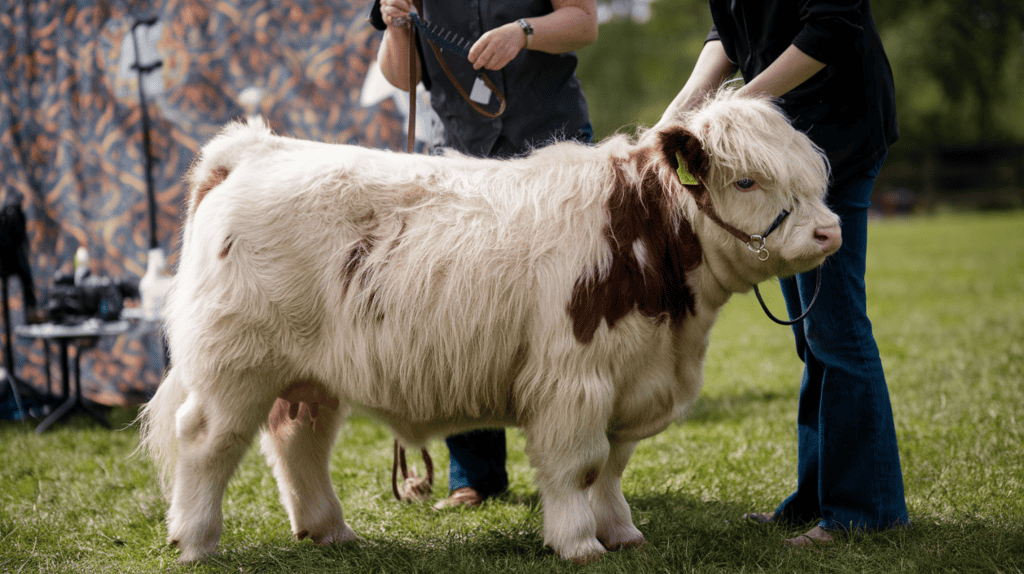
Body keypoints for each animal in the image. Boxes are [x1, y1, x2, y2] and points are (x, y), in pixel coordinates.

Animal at [139, 89, 841, 564]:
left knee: (297, 439)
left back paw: (329, 530)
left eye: (812, 180)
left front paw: (622, 533)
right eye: (745, 181)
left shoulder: (629, 376)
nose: (830, 231)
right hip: (234, 365)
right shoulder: (574, 379)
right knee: (207, 440)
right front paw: (579, 543)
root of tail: (256, 149)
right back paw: (195, 541)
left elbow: (613, 467)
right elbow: (579, 467)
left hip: (308, 375)